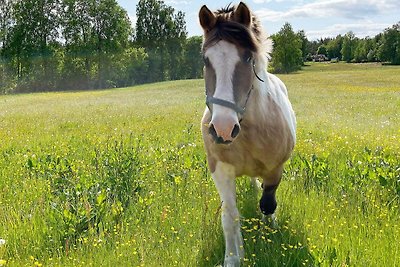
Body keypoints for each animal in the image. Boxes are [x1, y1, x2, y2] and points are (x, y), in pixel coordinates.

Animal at [198, 2, 296, 267]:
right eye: (206, 59)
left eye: (247, 57)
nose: (222, 129)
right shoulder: (221, 171)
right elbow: (230, 217)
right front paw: (234, 256)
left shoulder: (275, 170)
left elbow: (267, 204)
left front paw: (268, 234)